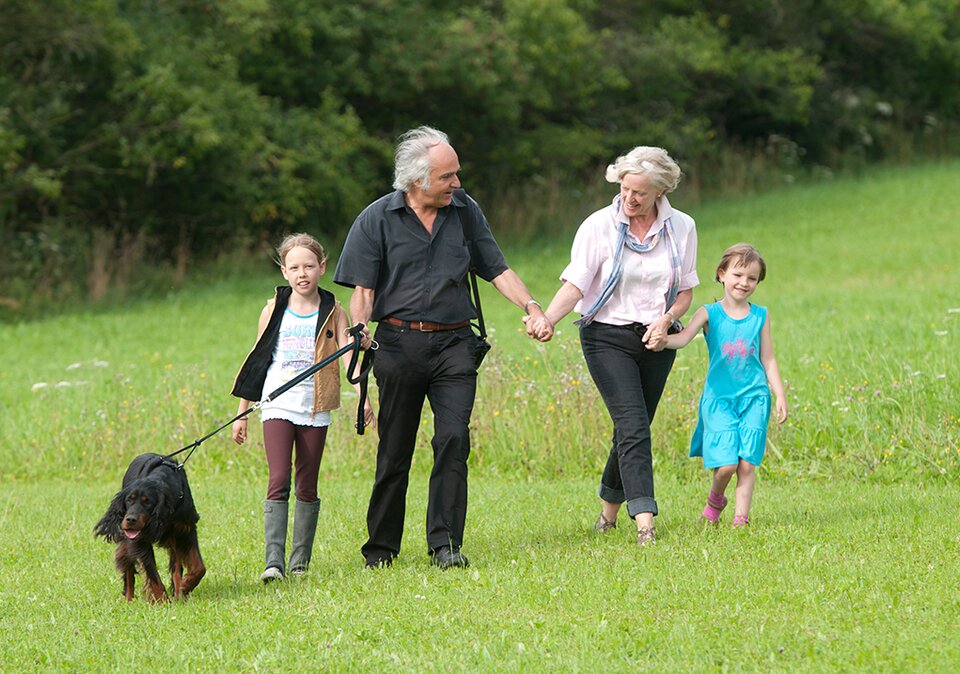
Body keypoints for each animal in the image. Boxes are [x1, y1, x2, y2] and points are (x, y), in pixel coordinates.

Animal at [94, 452, 205, 600]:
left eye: (147, 502)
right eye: (129, 500)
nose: (130, 519)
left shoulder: (185, 529)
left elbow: (199, 568)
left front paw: (185, 587)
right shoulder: (139, 540)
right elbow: (152, 573)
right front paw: (163, 601)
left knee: (176, 566)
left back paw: (177, 593)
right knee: (128, 567)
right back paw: (128, 599)